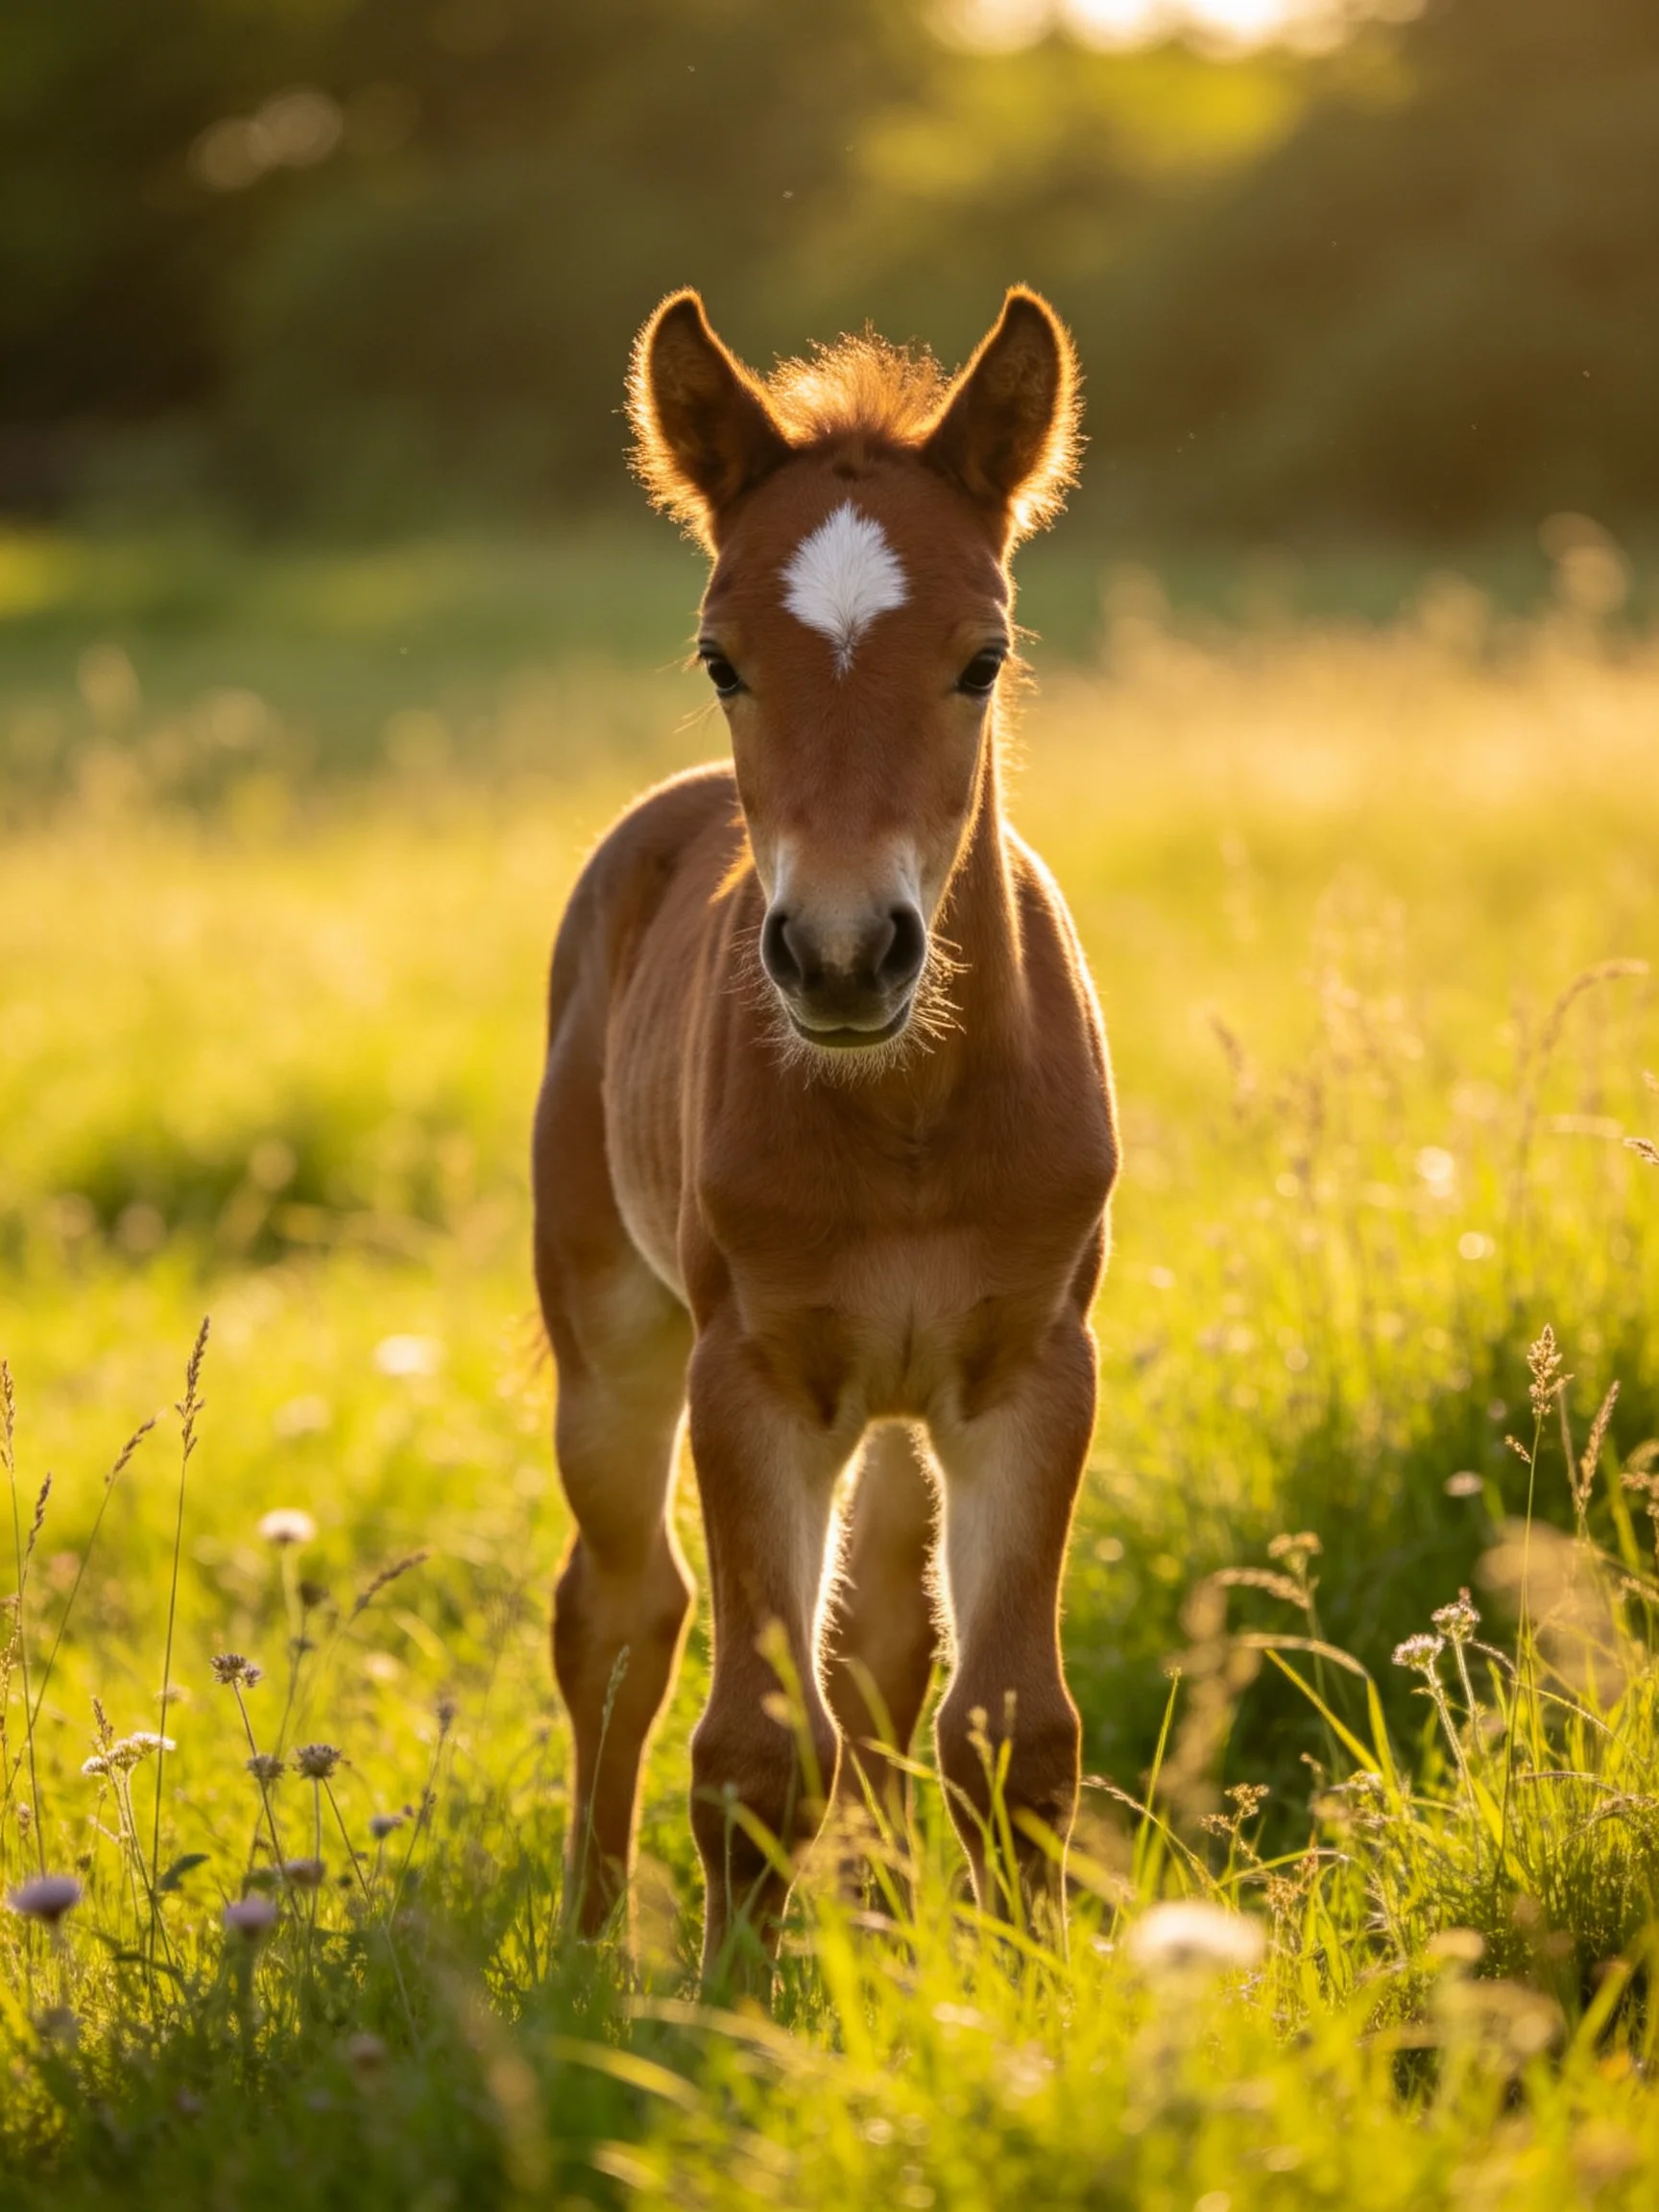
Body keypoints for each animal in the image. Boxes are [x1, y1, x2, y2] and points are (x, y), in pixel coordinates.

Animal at [532, 285, 1118, 1980]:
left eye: (984, 656)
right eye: (721, 657)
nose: (848, 957)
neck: (911, 1117)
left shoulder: (1031, 1371)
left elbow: (1007, 1727)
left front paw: (1023, 1995)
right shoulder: (754, 1378)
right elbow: (749, 1743)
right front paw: (728, 2001)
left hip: (905, 1405)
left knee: (876, 1649)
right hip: (611, 1331)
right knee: (618, 1614)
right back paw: (591, 1941)